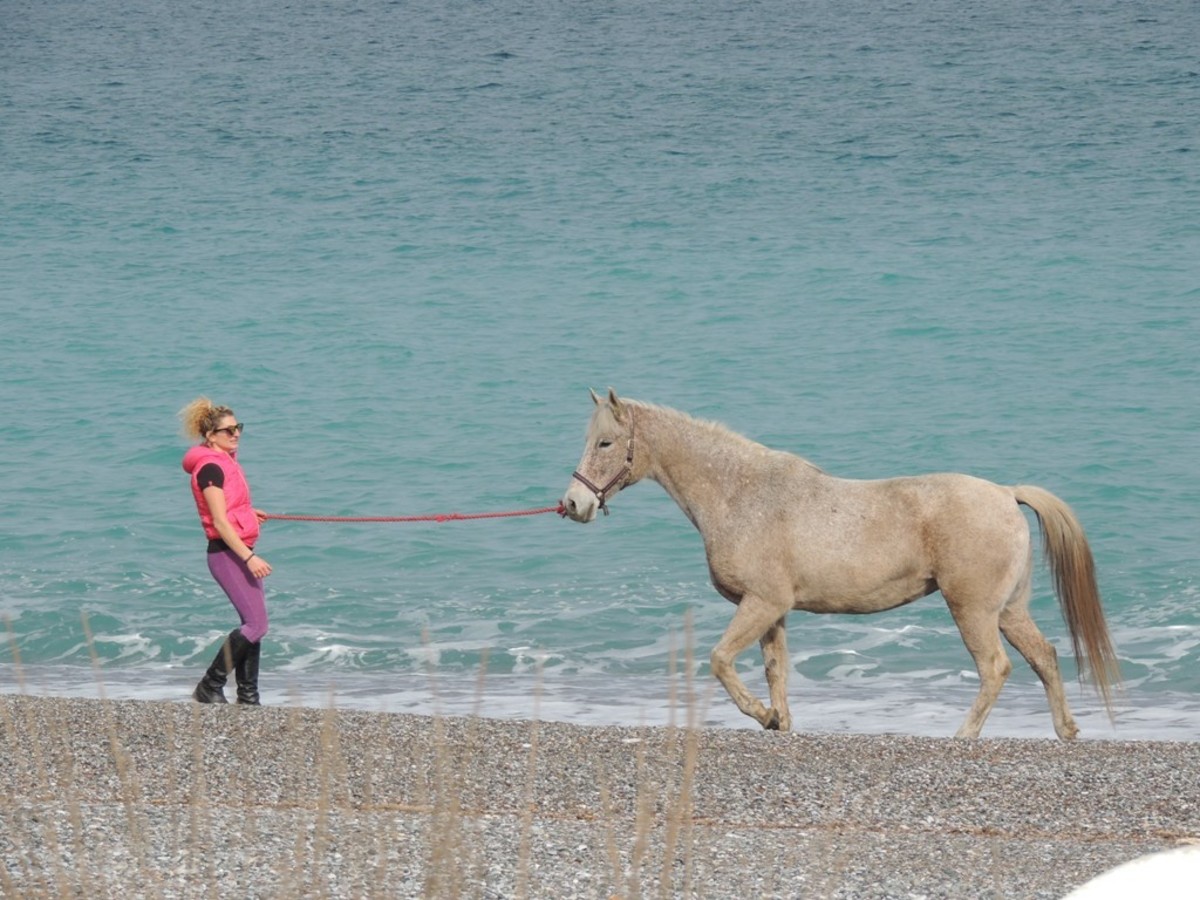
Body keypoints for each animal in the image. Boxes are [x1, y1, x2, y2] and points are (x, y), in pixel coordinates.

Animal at [556, 388, 1118, 739]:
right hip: (1008, 610)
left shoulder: (760, 603)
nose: (574, 504)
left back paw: (964, 734)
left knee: (995, 668)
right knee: (1044, 657)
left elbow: (720, 660)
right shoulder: (773, 610)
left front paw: (763, 717)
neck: (740, 493)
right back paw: (1066, 730)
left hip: (974, 611)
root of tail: (1005, 494)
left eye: (605, 442)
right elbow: (774, 669)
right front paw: (780, 720)